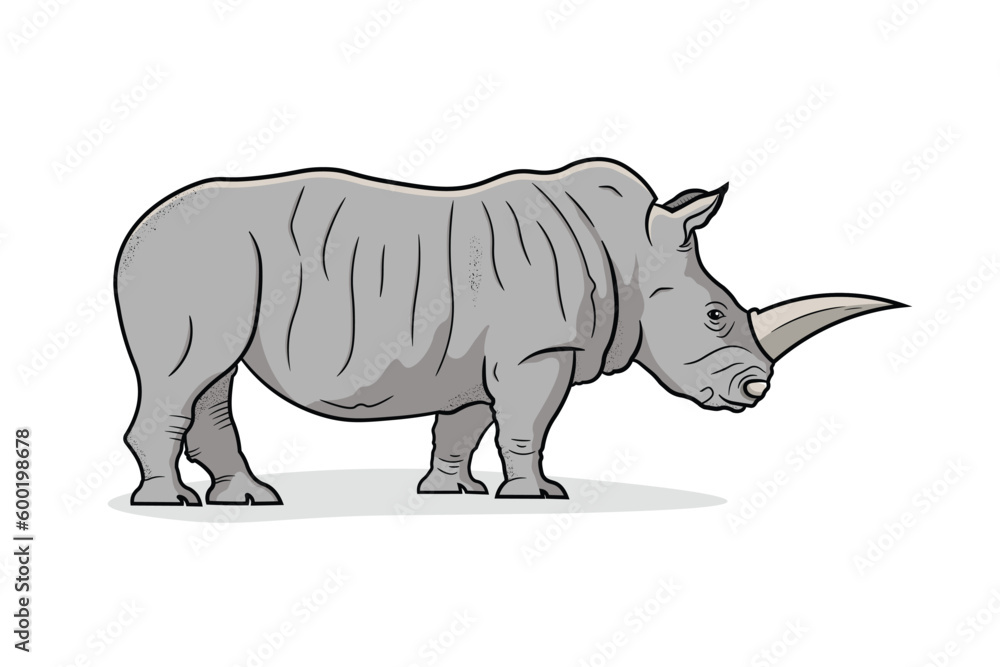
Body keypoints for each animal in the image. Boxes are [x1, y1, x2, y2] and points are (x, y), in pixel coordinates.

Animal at [114, 158, 903, 505]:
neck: (634, 252)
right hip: (199, 260)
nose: (756, 389)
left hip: (222, 264)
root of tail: (137, 227)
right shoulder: (538, 349)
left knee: (213, 378)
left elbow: (463, 425)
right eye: (716, 315)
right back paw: (168, 504)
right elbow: (528, 424)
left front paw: (450, 491)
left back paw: (249, 498)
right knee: (185, 374)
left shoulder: (471, 356)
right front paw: (537, 494)